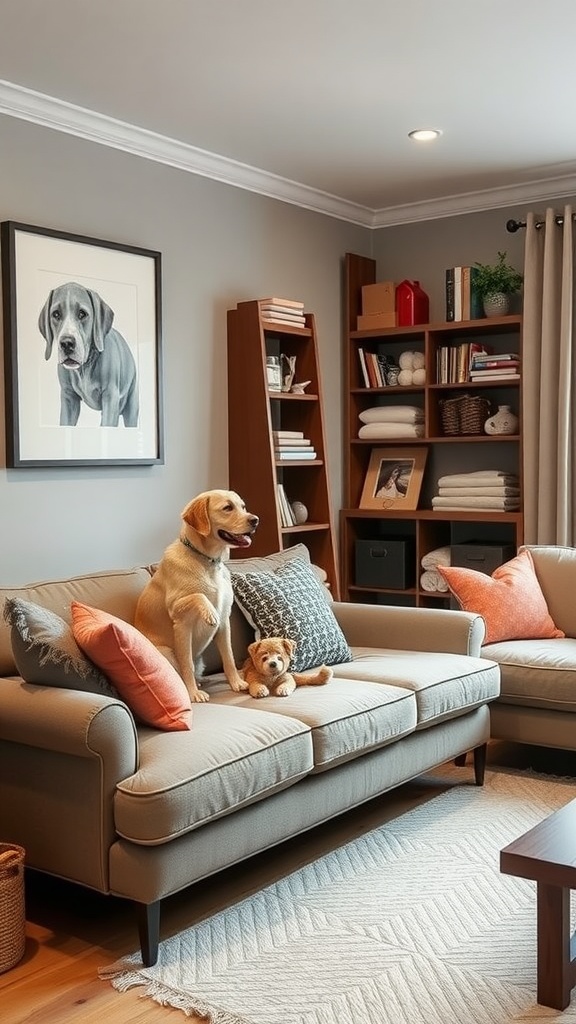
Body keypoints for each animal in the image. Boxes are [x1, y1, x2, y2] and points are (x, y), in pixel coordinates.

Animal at [134, 489, 258, 700]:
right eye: (227, 508)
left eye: (243, 506)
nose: (255, 520)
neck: (207, 561)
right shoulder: (180, 619)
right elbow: (198, 597)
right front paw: (193, 693)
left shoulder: (225, 622)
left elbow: (229, 657)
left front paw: (236, 683)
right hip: (166, 651)